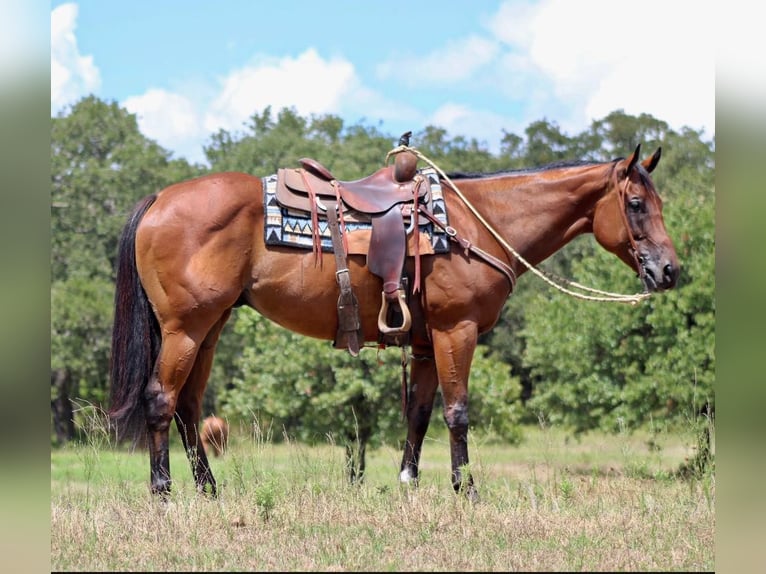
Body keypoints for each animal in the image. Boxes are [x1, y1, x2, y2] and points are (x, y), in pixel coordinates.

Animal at [106, 142, 680, 502]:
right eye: (635, 203)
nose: (669, 270)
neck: (475, 224)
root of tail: (160, 199)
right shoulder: (456, 330)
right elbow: (457, 412)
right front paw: (466, 489)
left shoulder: (425, 341)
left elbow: (420, 415)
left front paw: (409, 482)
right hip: (185, 327)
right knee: (161, 399)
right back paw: (163, 492)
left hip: (211, 327)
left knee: (188, 406)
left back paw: (209, 490)